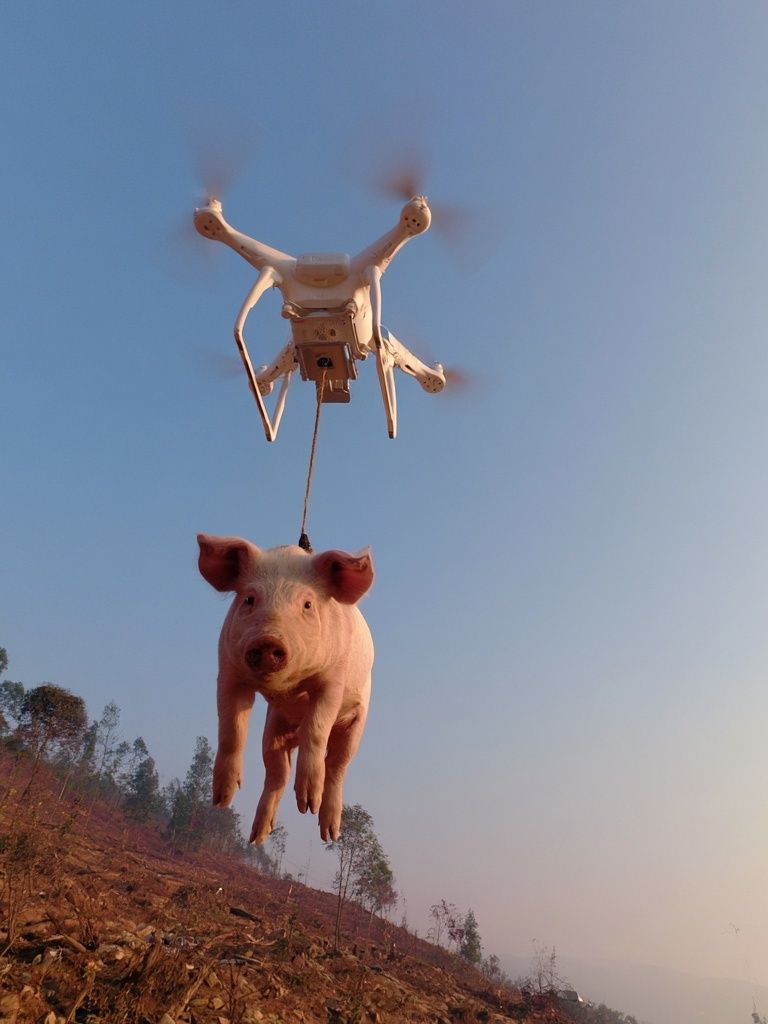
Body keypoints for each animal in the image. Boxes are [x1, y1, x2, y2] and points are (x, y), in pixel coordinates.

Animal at [197, 534, 374, 844]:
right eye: (249, 599)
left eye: (307, 604)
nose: (268, 640)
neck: (290, 687)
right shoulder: (228, 672)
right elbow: (231, 731)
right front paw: (220, 800)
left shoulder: (333, 680)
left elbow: (316, 729)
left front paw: (308, 804)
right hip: (274, 727)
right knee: (277, 772)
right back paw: (257, 837)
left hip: (356, 724)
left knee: (337, 765)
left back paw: (326, 829)